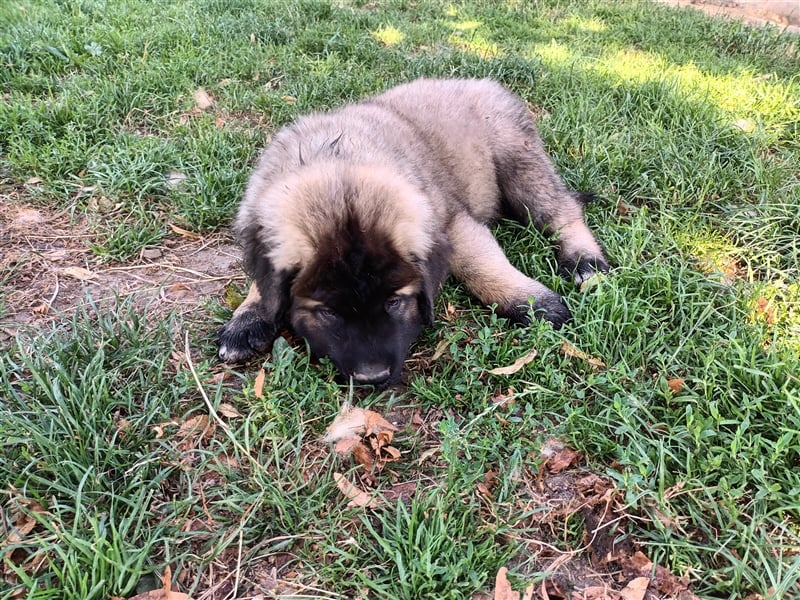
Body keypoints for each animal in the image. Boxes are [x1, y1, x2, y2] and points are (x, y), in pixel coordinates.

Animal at [216, 78, 608, 384]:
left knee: (562, 210)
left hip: (518, 162)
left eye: (394, 302)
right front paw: (248, 318)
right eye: (327, 312)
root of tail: (483, 83)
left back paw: (584, 261)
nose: (372, 378)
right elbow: (262, 283)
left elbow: (482, 266)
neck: (336, 160)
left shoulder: (452, 222)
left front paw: (532, 301)